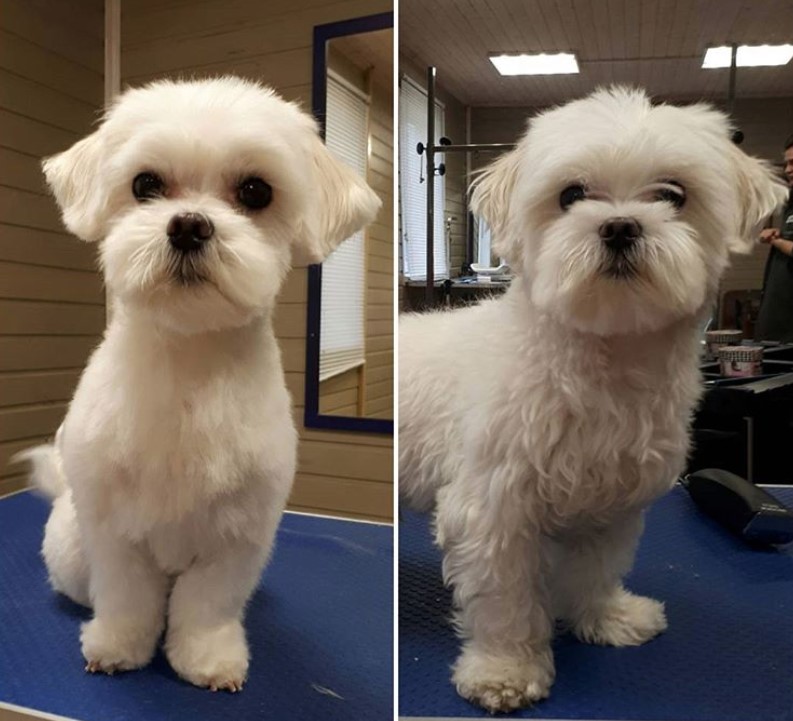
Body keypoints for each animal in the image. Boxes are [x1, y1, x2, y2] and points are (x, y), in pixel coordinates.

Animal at [16, 76, 380, 688]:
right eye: (145, 184)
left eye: (255, 191)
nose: (189, 224)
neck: (189, 365)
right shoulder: (114, 530)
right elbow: (125, 597)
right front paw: (117, 646)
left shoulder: (238, 535)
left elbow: (208, 605)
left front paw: (208, 658)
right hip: (70, 546)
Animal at [400, 87, 784, 712]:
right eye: (571, 195)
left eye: (673, 195)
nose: (620, 226)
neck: (603, 363)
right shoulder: (494, 509)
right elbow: (506, 600)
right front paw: (505, 669)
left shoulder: (611, 502)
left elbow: (594, 571)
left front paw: (606, 620)